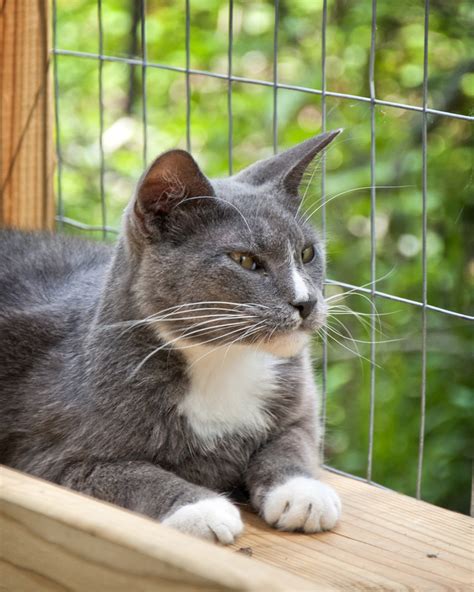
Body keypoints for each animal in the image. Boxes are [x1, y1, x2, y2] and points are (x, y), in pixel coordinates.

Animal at [0, 131, 340, 544]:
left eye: (307, 253)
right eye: (244, 260)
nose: (306, 302)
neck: (223, 361)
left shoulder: (299, 401)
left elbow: (292, 441)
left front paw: (302, 493)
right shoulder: (50, 457)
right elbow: (133, 473)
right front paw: (201, 509)